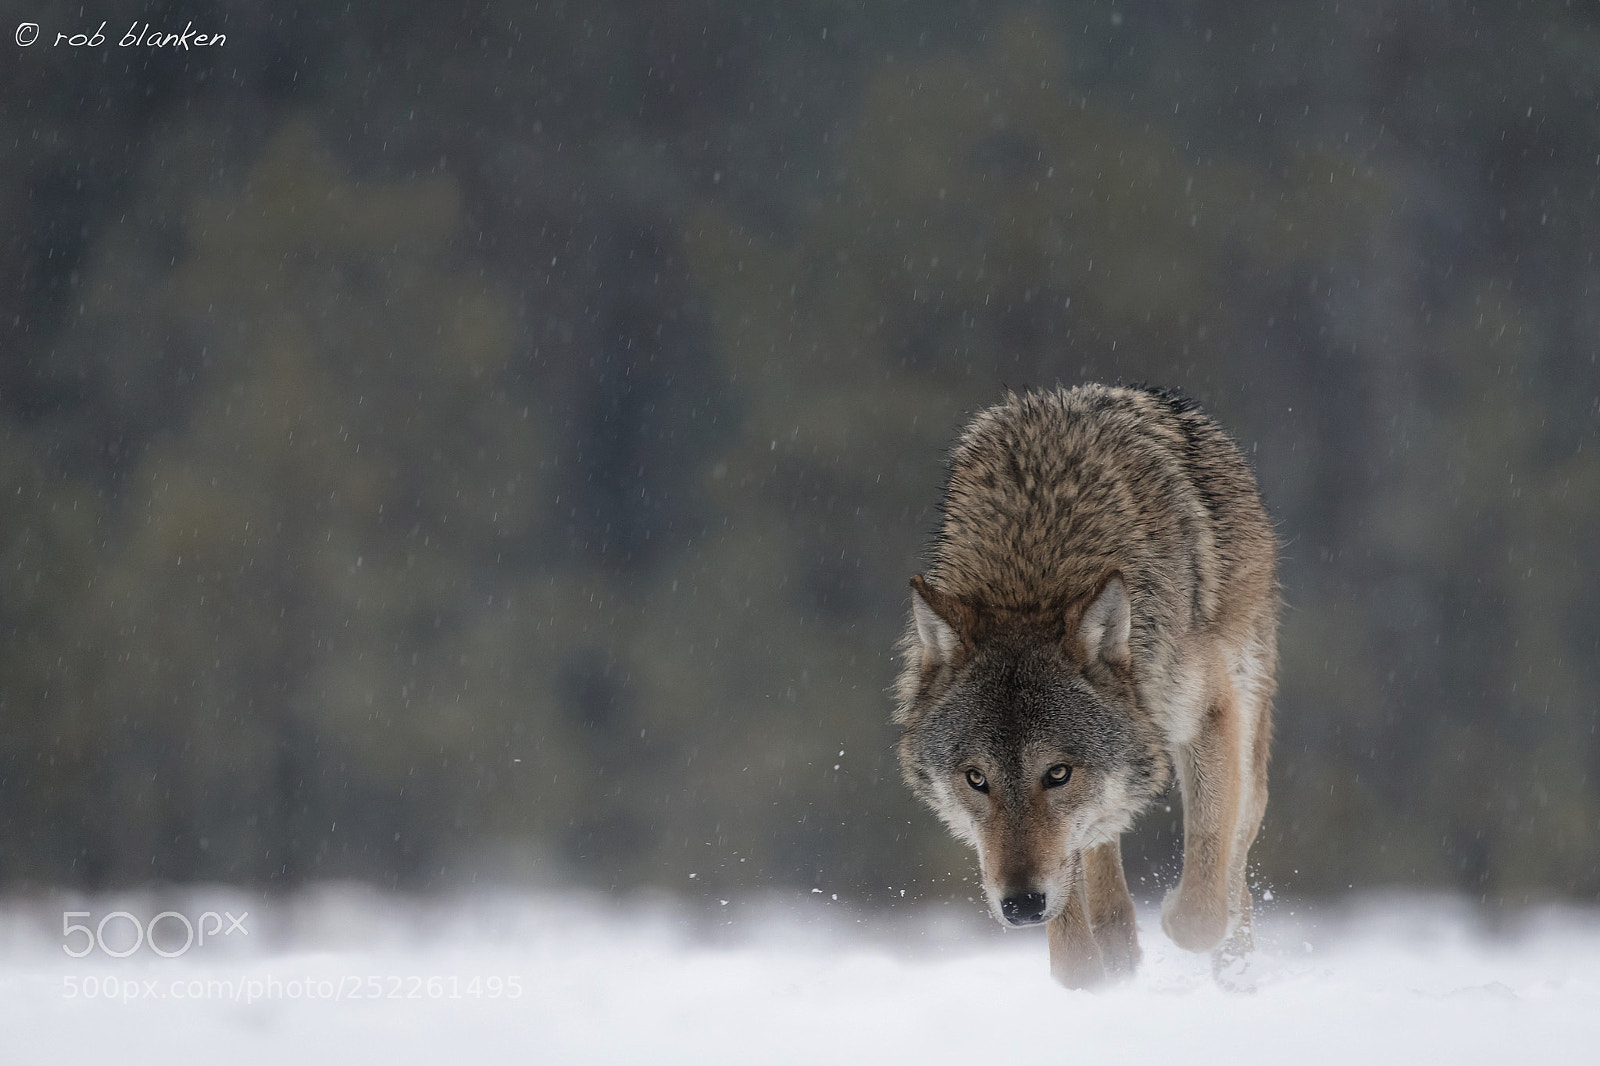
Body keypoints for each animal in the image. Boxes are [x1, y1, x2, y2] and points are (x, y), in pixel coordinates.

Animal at [893, 384, 1278, 988]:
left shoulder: (1211, 710)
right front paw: (1098, 977)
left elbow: (1204, 895)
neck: (1032, 578)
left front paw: (1184, 921)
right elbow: (1072, 961)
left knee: (1238, 834)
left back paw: (1234, 969)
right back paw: (1120, 952)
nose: (1021, 906)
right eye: (977, 779)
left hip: (1247, 704)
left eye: (1058, 773)